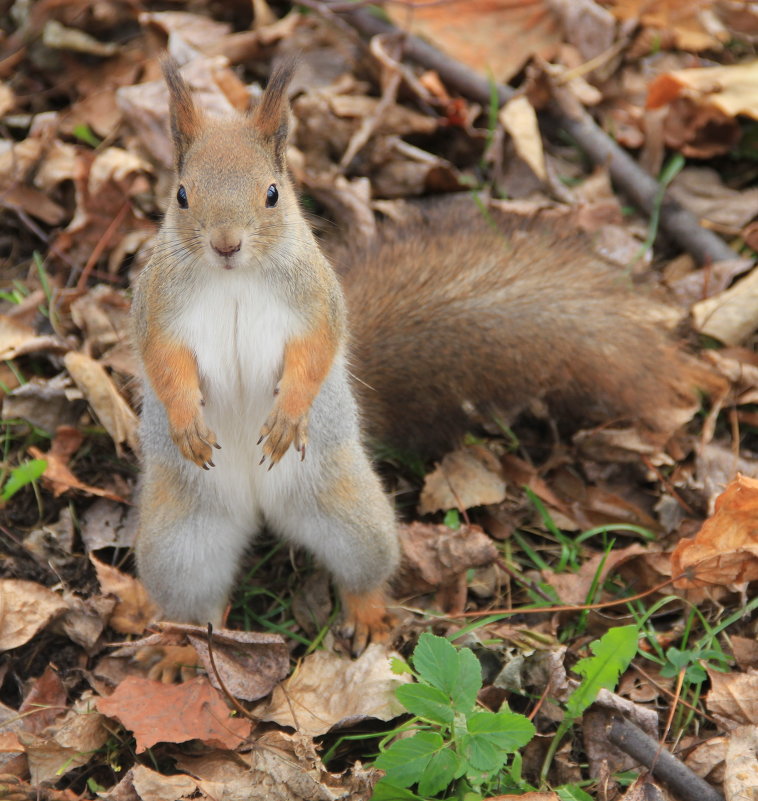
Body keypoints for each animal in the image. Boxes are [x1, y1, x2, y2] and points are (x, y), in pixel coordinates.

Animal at [131, 59, 708, 652]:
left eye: (272, 193)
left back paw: (366, 616)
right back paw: (178, 649)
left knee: (363, 571)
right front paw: (187, 423)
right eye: (181, 195)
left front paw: (289, 416)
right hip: (179, 546)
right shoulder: (156, 309)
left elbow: (315, 352)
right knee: (194, 606)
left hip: (350, 515)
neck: (234, 279)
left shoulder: (317, 301)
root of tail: (261, 512)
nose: (226, 244)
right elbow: (164, 363)